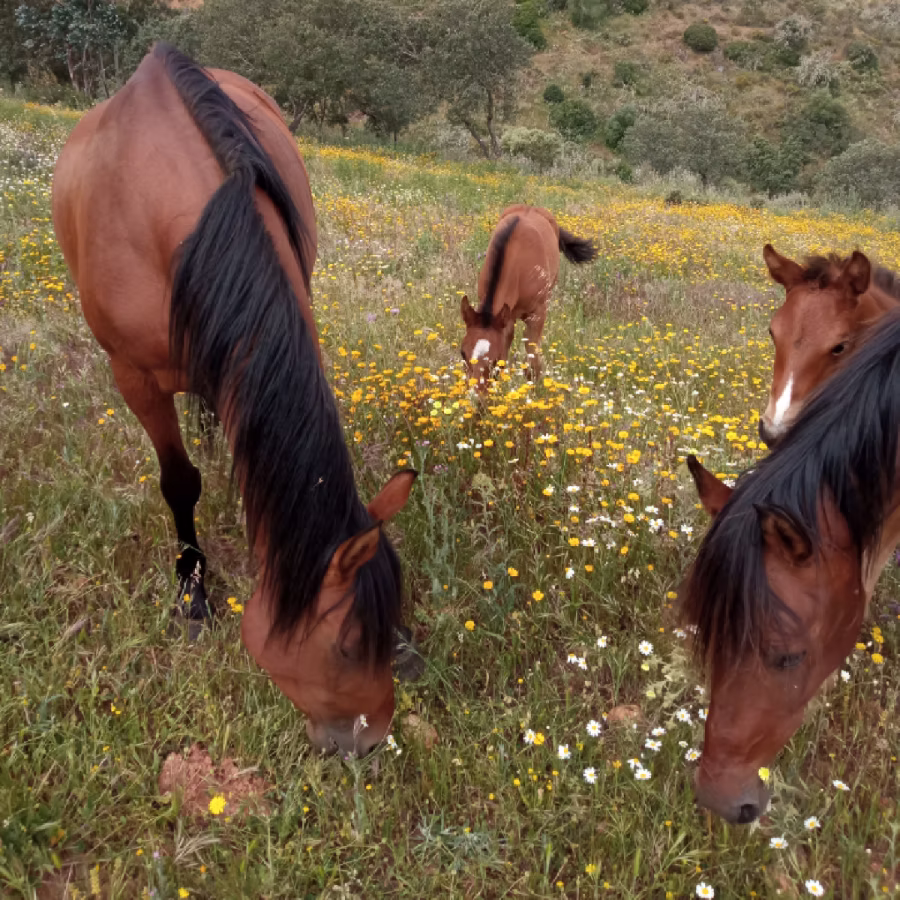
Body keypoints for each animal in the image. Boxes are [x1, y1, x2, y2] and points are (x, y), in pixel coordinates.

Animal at [52, 44, 417, 756]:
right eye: (346, 645)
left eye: (387, 628)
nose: (368, 741)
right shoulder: (134, 378)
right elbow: (179, 482)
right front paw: (192, 595)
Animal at [459, 204, 597, 388]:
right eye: (462, 353)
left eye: (494, 359)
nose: (477, 394)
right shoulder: (507, 316)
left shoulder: (537, 314)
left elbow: (532, 361)